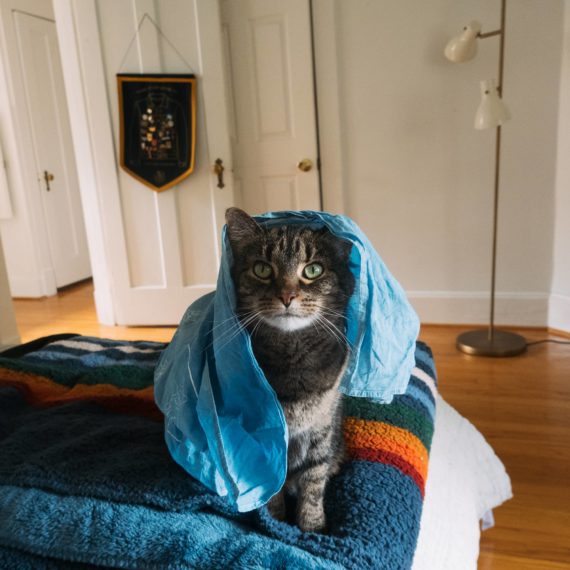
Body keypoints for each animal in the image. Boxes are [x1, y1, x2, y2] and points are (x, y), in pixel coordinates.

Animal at [224, 206, 352, 532]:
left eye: (313, 270)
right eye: (262, 269)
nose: (286, 297)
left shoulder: (322, 426)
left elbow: (314, 480)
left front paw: (312, 527)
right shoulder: (263, 436)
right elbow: (272, 481)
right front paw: (275, 522)